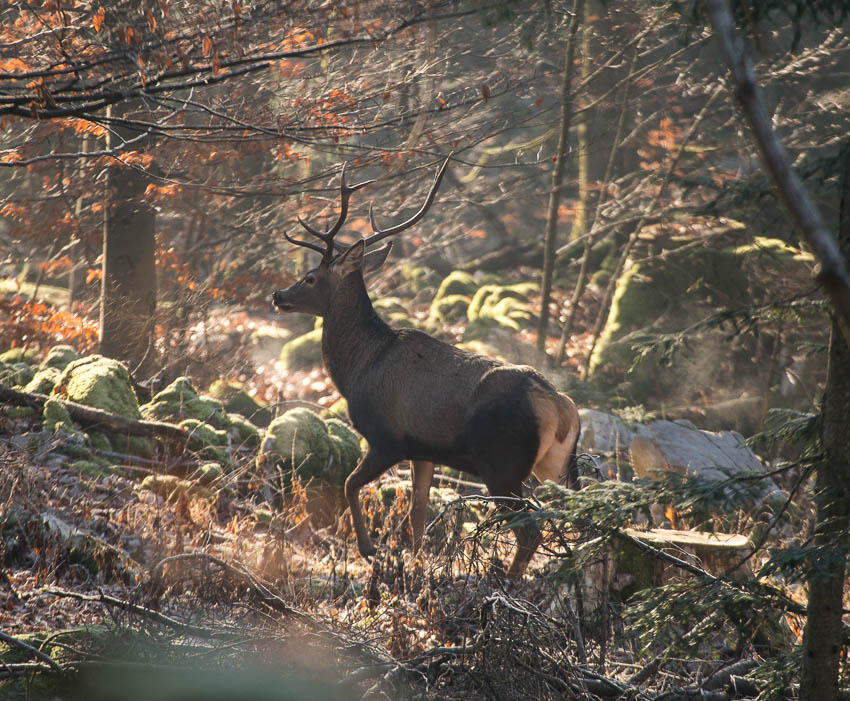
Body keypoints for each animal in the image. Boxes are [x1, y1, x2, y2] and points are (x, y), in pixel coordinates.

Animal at [272, 156, 576, 576]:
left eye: (311, 277)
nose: (278, 295)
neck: (358, 368)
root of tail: (560, 408)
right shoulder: (424, 449)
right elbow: (417, 514)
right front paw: (416, 567)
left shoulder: (388, 437)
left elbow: (350, 484)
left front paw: (369, 549)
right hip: (555, 465)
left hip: (503, 462)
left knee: (530, 530)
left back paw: (508, 582)